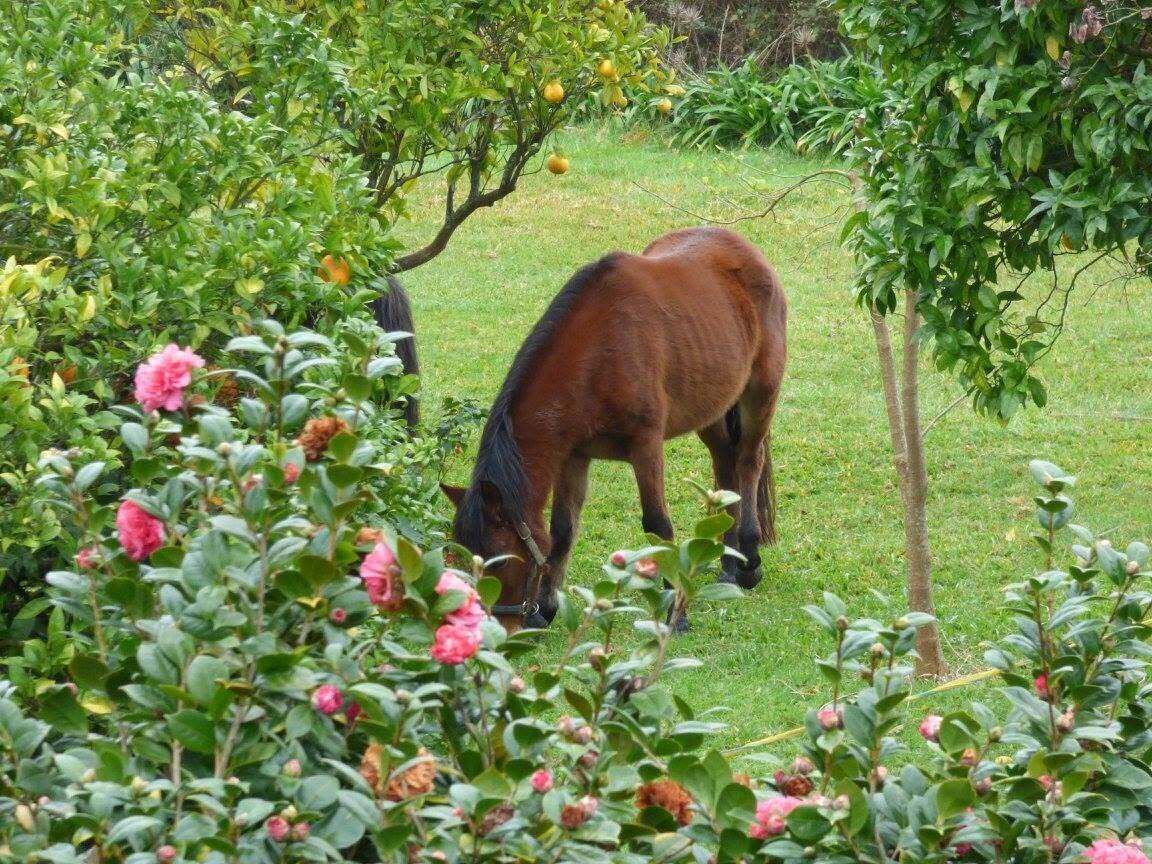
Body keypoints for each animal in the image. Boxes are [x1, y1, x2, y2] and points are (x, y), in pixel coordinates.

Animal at [441, 227, 787, 630]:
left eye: (499, 560)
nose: (494, 627)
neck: (599, 355)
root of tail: (746, 249)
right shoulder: (573, 456)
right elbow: (562, 531)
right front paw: (547, 608)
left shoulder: (646, 447)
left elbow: (658, 526)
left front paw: (675, 613)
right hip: (711, 407)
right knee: (725, 462)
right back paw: (730, 562)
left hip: (759, 393)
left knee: (749, 460)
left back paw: (748, 560)